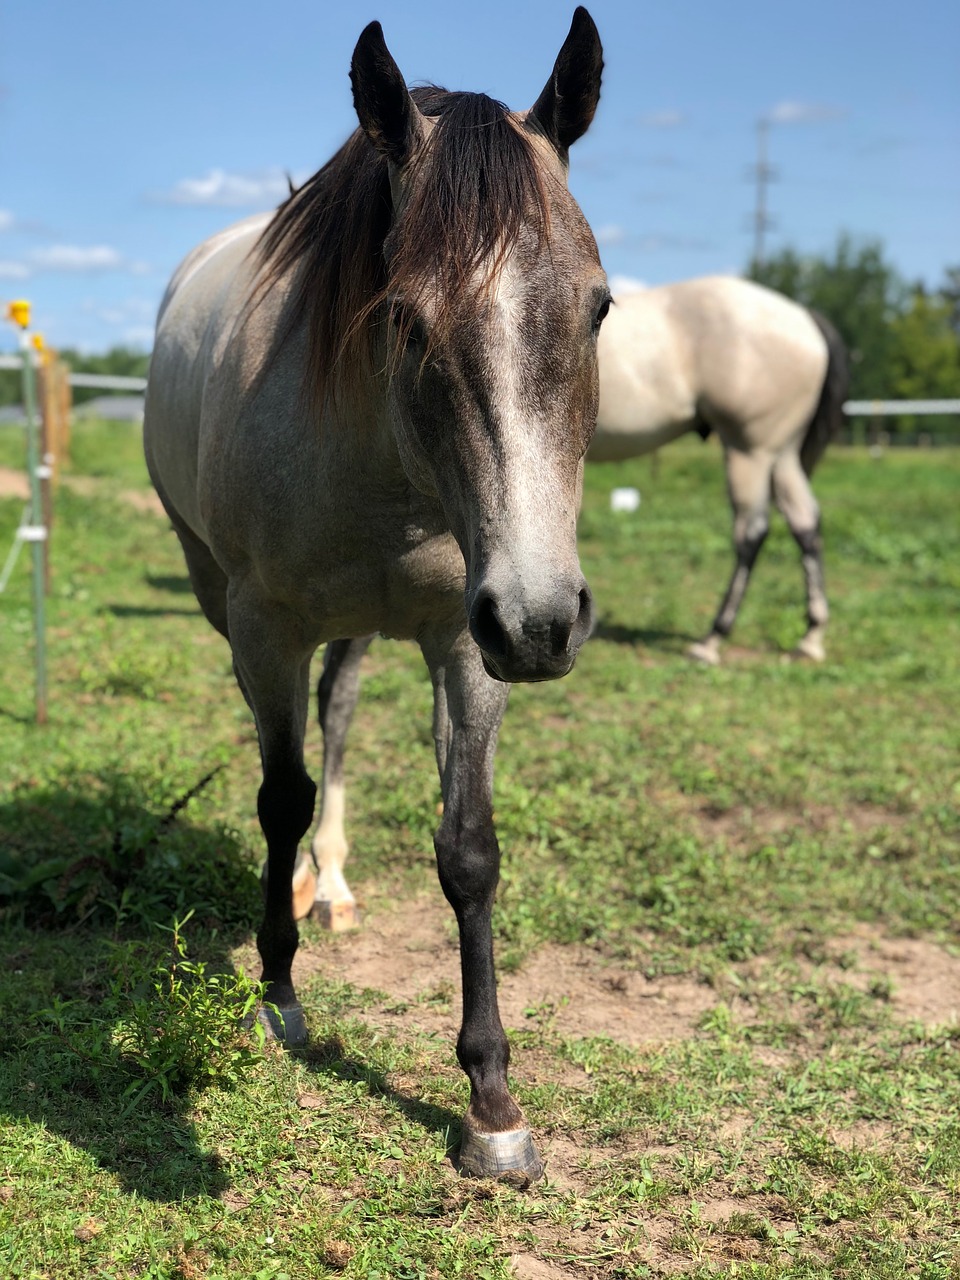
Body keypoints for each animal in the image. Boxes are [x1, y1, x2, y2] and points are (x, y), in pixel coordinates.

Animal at [142, 12, 609, 1187]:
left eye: (599, 307)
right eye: (403, 318)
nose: (545, 621)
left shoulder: (465, 641)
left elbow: (469, 846)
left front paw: (491, 1101)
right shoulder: (266, 629)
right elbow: (279, 796)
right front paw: (278, 992)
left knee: (342, 717)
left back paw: (338, 883)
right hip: (237, 603)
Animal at [593, 276, 849, 665]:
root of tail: (805, 317)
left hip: (750, 452)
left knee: (751, 532)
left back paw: (713, 637)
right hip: (782, 455)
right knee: (805, 522)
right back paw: (811, 636)